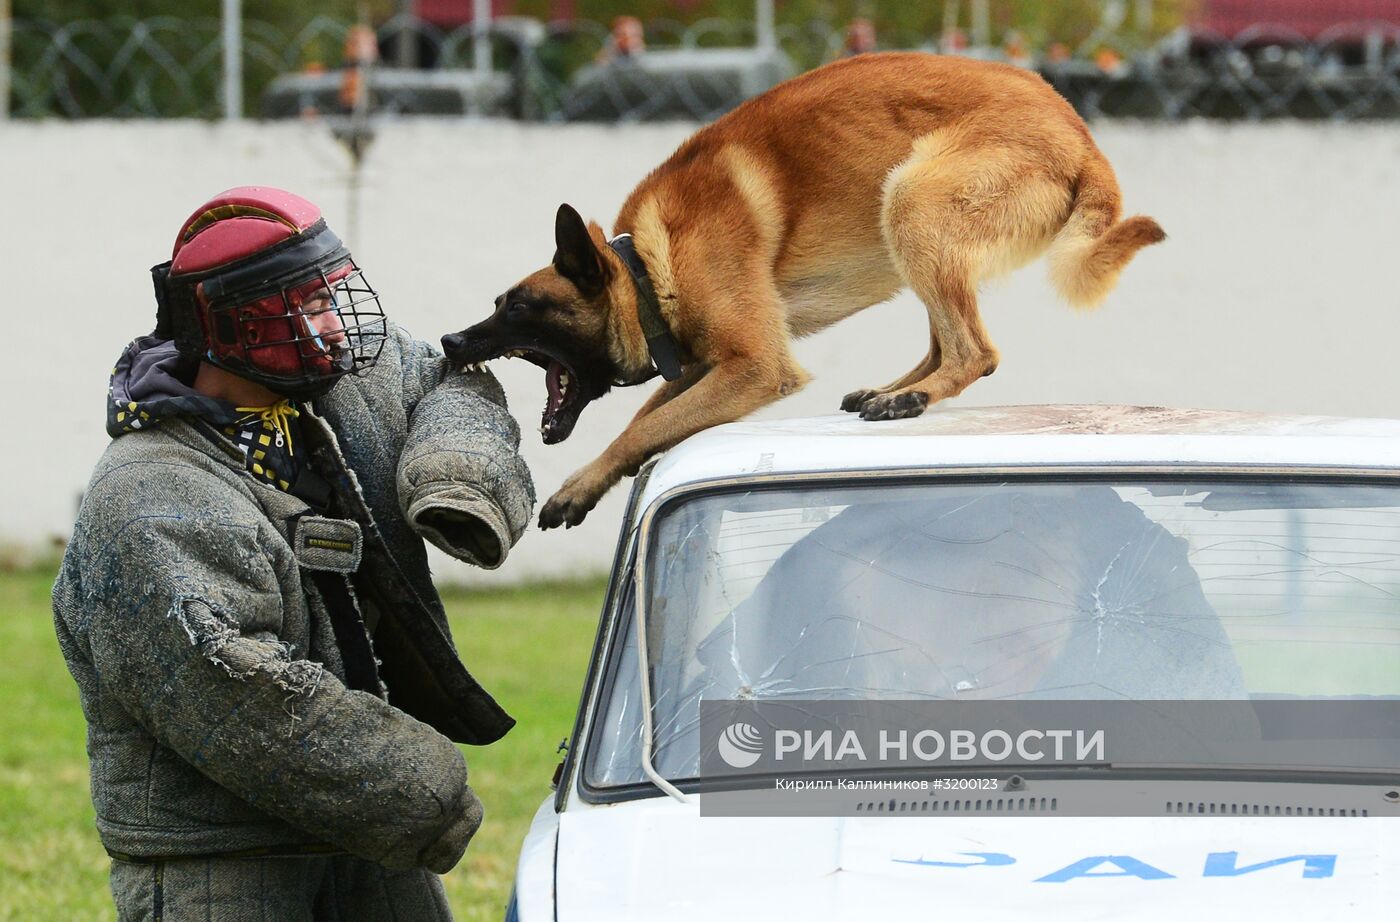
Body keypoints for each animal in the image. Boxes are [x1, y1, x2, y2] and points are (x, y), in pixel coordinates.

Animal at [442, 52, 1164, 526]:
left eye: (518, 307)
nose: (450, 341)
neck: (647, 264)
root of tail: (1080, 134)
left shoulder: (756, 368)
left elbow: (639, 428)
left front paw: (581, 483)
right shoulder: (708, 365)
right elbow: (645, 422)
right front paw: (588, 484)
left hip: (913, 201)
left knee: (974, 352)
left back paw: (910, 398)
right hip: (916, 228)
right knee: (946, 343)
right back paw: (894, 390)